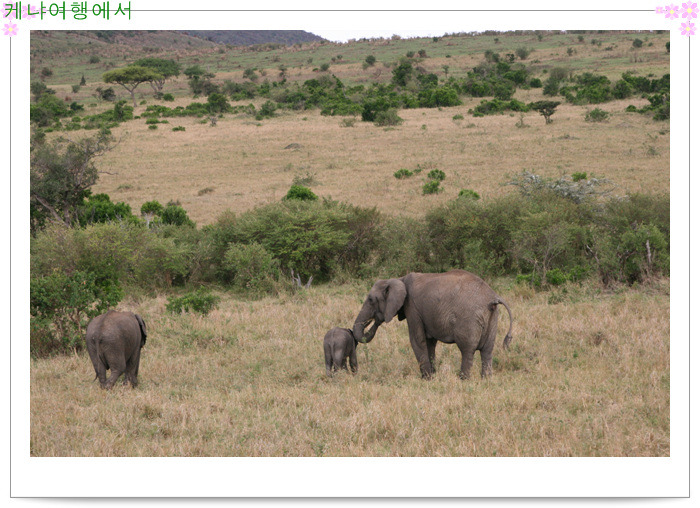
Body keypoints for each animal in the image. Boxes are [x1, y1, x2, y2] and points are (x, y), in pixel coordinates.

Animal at [356, 270, 516, 378]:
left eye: (371, 299)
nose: (376, 320)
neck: (398, 279)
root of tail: (493, 297)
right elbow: (430, 343)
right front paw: (433, 376)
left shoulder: (412, 308)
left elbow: (417, 340)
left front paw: (426, 379)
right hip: (492, 317)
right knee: (487, 351)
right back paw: (486, 380)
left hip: (469, 318)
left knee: (467, 350)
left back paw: (464, 380)